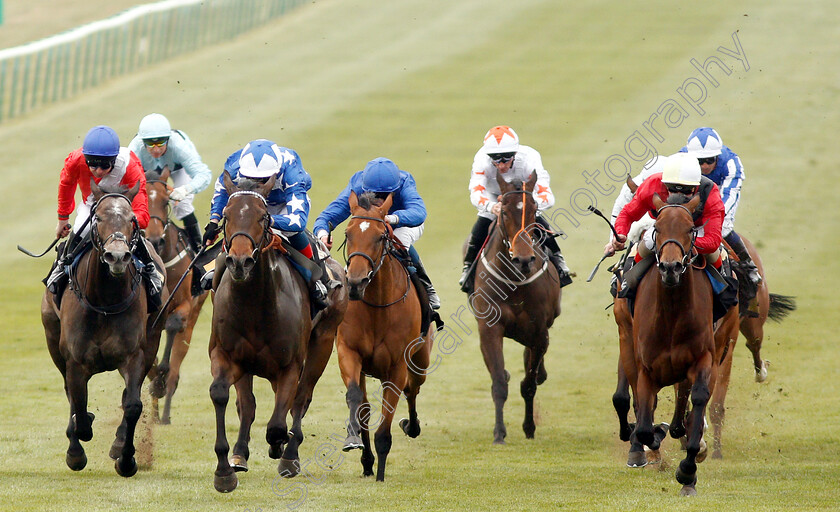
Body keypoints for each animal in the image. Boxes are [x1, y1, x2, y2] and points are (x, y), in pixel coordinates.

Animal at [40, 179, 164, 476]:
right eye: (98, 218)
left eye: (132, 219)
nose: (117, 256)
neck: (105, 301)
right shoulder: (74, 360)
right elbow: (78, 404)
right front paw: (76, 451)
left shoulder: (133, 355)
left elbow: (132, 405)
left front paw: (126, 458)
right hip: (52, 338)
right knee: (69, 394)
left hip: (153, 337)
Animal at [144, 168, 210, 424]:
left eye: (165, 201)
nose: (154, 240)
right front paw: (154, 379)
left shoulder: (184, 305)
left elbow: (172, 325)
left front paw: (160, 378)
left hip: (191, 323)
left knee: (176, 366)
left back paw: (164, 414)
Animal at [209, 172, 348, 492]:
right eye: (226, 215)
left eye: (263, 217)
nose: (239, 261)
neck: (255, 307)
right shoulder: (225, 355)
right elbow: (222, 394)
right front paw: (224, 470)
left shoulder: (290, 365)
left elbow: (279, 422)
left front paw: (283, 450)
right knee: (248, 404)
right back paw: (241, 453)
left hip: (323, 342)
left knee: (301, 397)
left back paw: (288, 453)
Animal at [338, 190, 436, 482]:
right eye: (347, 233)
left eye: (382, 236)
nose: (356, 282)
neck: (377, 307)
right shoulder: (348, 352)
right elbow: (356, 401)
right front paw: (355, 443)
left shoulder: (396, 366)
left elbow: (387, 420)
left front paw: (380, 472)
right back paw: (367, 461)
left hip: (420, 361)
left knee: (412, 390)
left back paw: (411, 427)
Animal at [470, 172, 560, 444]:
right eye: (505, 211)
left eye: (533, 209)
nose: (523, 260)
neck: (514, 282)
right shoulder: (489, 329)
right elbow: (499, 382)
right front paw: (499, 433)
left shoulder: (539, 332)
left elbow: (529, 385)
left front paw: (529, 427)